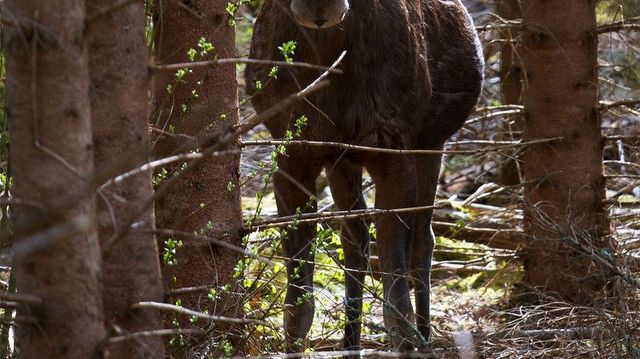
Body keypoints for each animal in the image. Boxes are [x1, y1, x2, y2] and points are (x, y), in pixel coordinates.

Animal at [246, 0, 484, 354]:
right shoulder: (292, 154)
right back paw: (350, 344)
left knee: (422, 240)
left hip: (430, 142)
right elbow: (297, 309)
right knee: (355, 241)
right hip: (342, 160)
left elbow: (396, 311)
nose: (320, 6)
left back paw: (425, 336)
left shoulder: (393, 152)